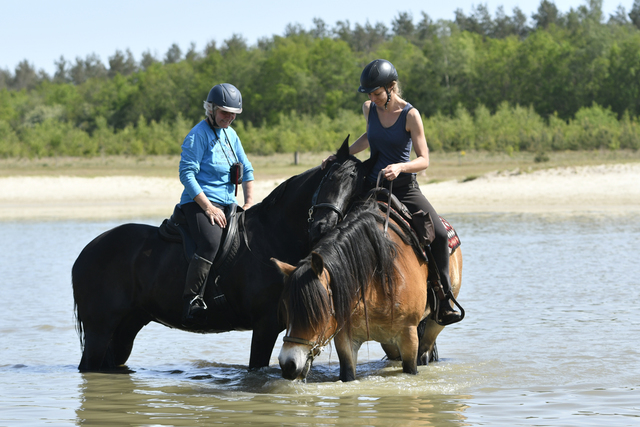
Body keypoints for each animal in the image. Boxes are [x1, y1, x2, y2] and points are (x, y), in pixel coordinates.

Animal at [72, 137, 372, 372]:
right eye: (330, 178)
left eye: (357, 187)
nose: (322, 227)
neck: (273, 236)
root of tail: (85, 253)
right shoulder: (265, 325)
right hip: (100, 329)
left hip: (126, 328)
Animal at [272, 201, 462, 384]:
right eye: (286, 309)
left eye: (316, 311)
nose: (288, 364)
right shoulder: (346, 340)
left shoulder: (408, 336)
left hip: (433, 325)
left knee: (425, 351)